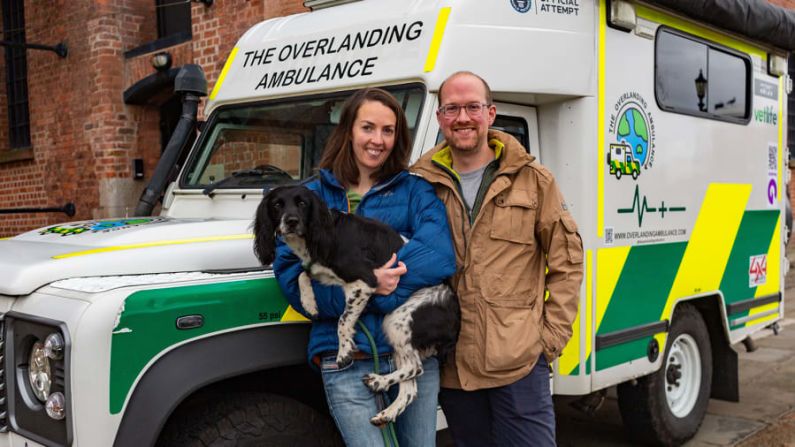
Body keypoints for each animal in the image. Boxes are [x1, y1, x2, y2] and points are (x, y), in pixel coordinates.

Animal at [252, 186, 464, 428]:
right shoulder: (325, 273)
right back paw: (387, 409)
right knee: (410, 388)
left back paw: (378, 381)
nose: (292, 221)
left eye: (302, 203)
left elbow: (343, 320)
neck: (321, 236)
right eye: (277, 205)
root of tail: (456, 321)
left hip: (396, 321)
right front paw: (309, 303)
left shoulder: (365, 282)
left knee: (415, 368)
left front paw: (344, 351)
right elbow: (302, 274)